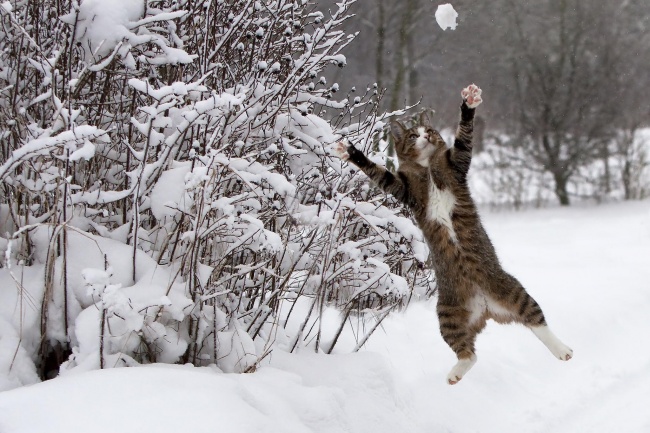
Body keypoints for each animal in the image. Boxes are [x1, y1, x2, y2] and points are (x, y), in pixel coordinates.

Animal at [332, 85, 568, 384]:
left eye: (430, 130)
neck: (427, 167)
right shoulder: (403, 189)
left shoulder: (457, 164)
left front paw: (469, 102)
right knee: (469, 353)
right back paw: (455, 373)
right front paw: (352, 153)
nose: (426, 135)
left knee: (538, 322)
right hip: (447, 316)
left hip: (512, 290)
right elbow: (379, 173)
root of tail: (486, 308)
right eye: (413, 135)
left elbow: (464, 138)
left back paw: (563, 350)